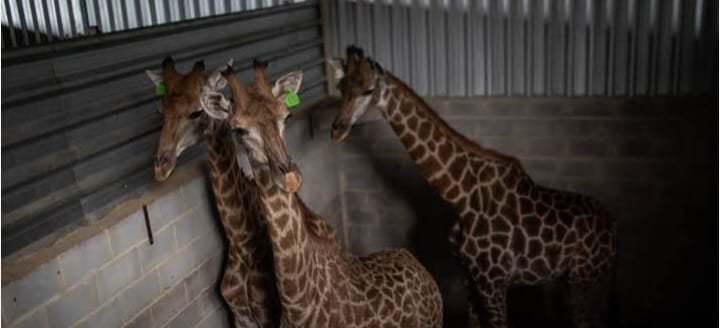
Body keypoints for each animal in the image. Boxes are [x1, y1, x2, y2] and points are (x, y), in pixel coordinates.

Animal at [145, 57, 280, 326]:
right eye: (160, 111)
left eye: (197, 112)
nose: (160, 167)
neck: (241, 245)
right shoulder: (237, 315)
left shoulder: (268, 313)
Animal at [330, 45, 616, 328]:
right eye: (341, 87)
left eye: (368, 90)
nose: (337, 130)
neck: (460, 195)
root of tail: (613, 227)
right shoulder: (469, 275)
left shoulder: (494, 280)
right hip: (583, 279)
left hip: (583, 279)